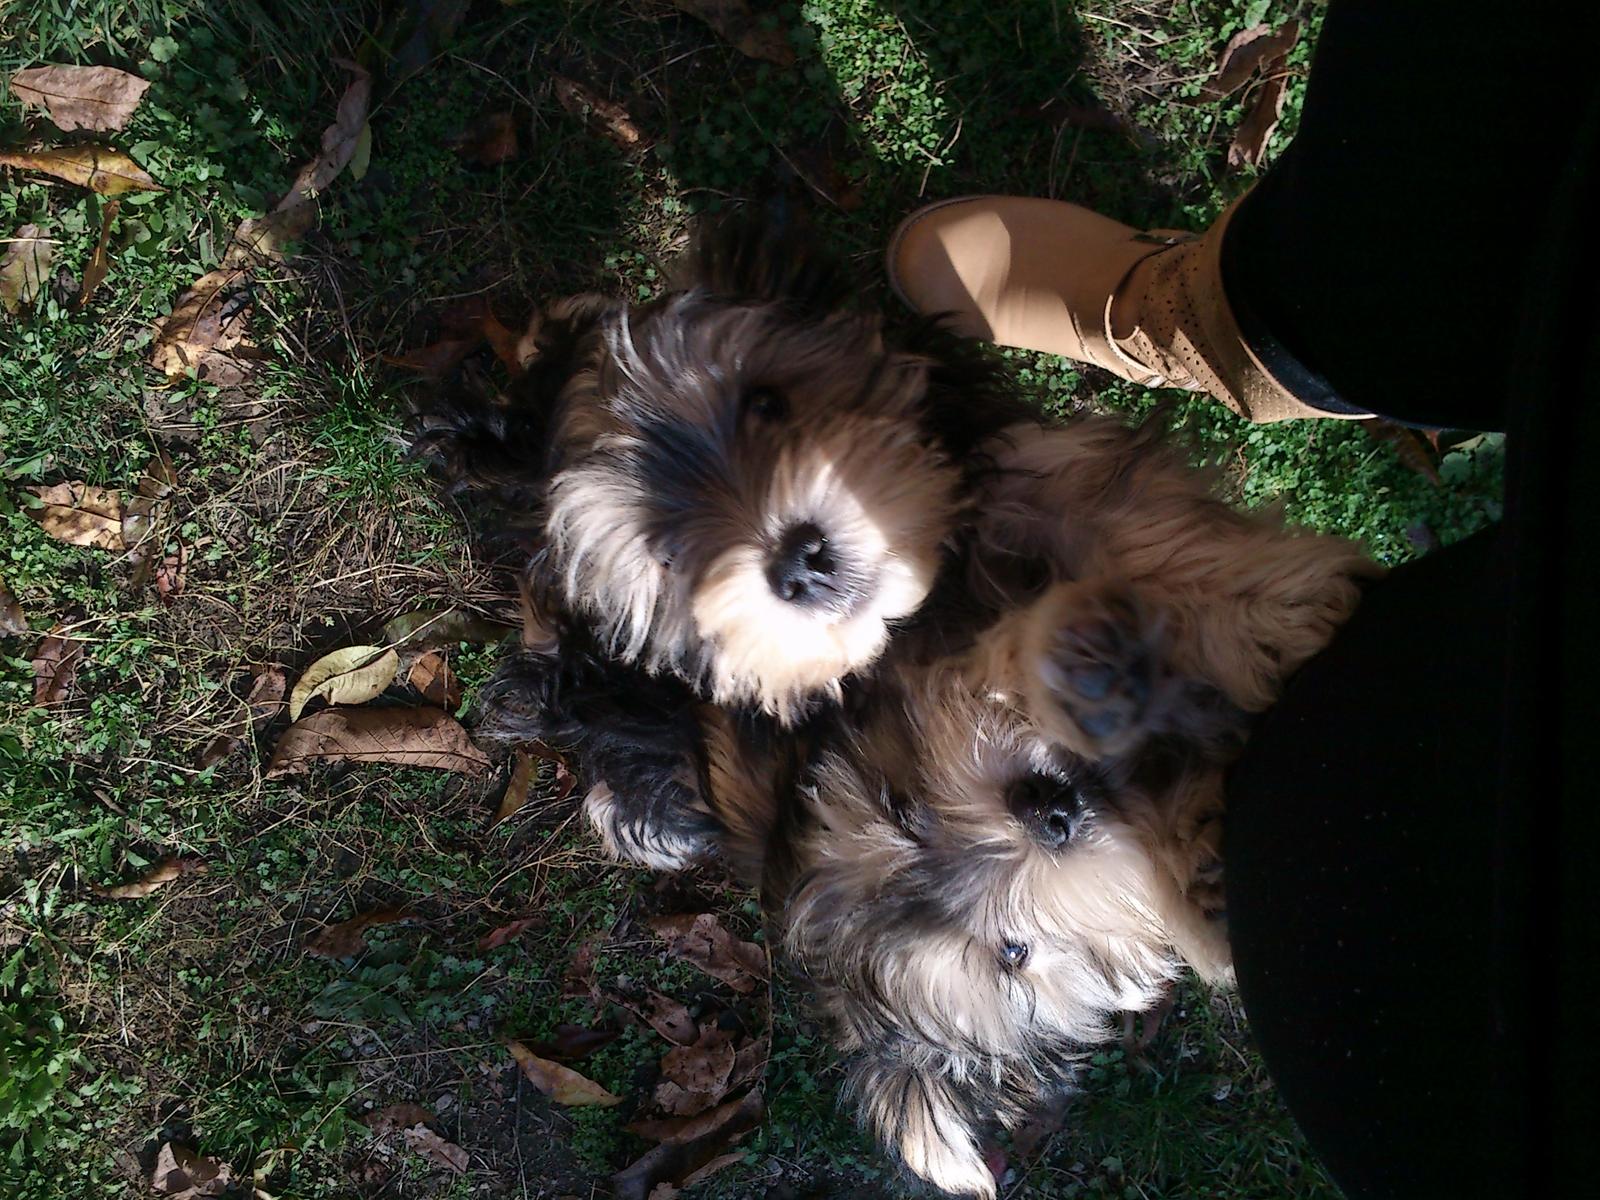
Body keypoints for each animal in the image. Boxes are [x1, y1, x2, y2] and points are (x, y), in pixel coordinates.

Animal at [413, 216, 1377, 1197]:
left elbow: (1126, 523)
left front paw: (1267, 600)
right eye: (1011, 952)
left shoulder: (1030, 482)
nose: (1052, 813)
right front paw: (1198, 864)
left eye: (764, 403)